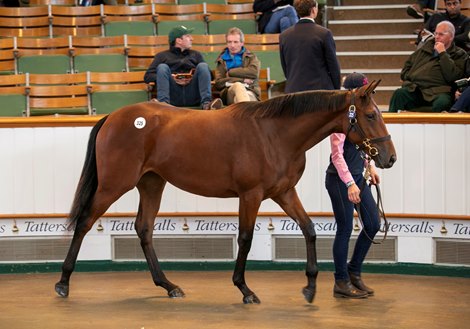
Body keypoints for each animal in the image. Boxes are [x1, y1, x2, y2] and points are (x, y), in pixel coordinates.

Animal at [53, 79, 394, 302]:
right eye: (371, 115)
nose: (389, 158)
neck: (274, 133)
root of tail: (113, 116)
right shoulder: (251, 195)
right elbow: (245, 238)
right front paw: (245, 289)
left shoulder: (283, 192)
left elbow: (309, 229)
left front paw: (310, 287)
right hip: (114, 184)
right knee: (84, 222)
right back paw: (63, 282)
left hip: (151, 183)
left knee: (144, 229)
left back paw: (168, 285)